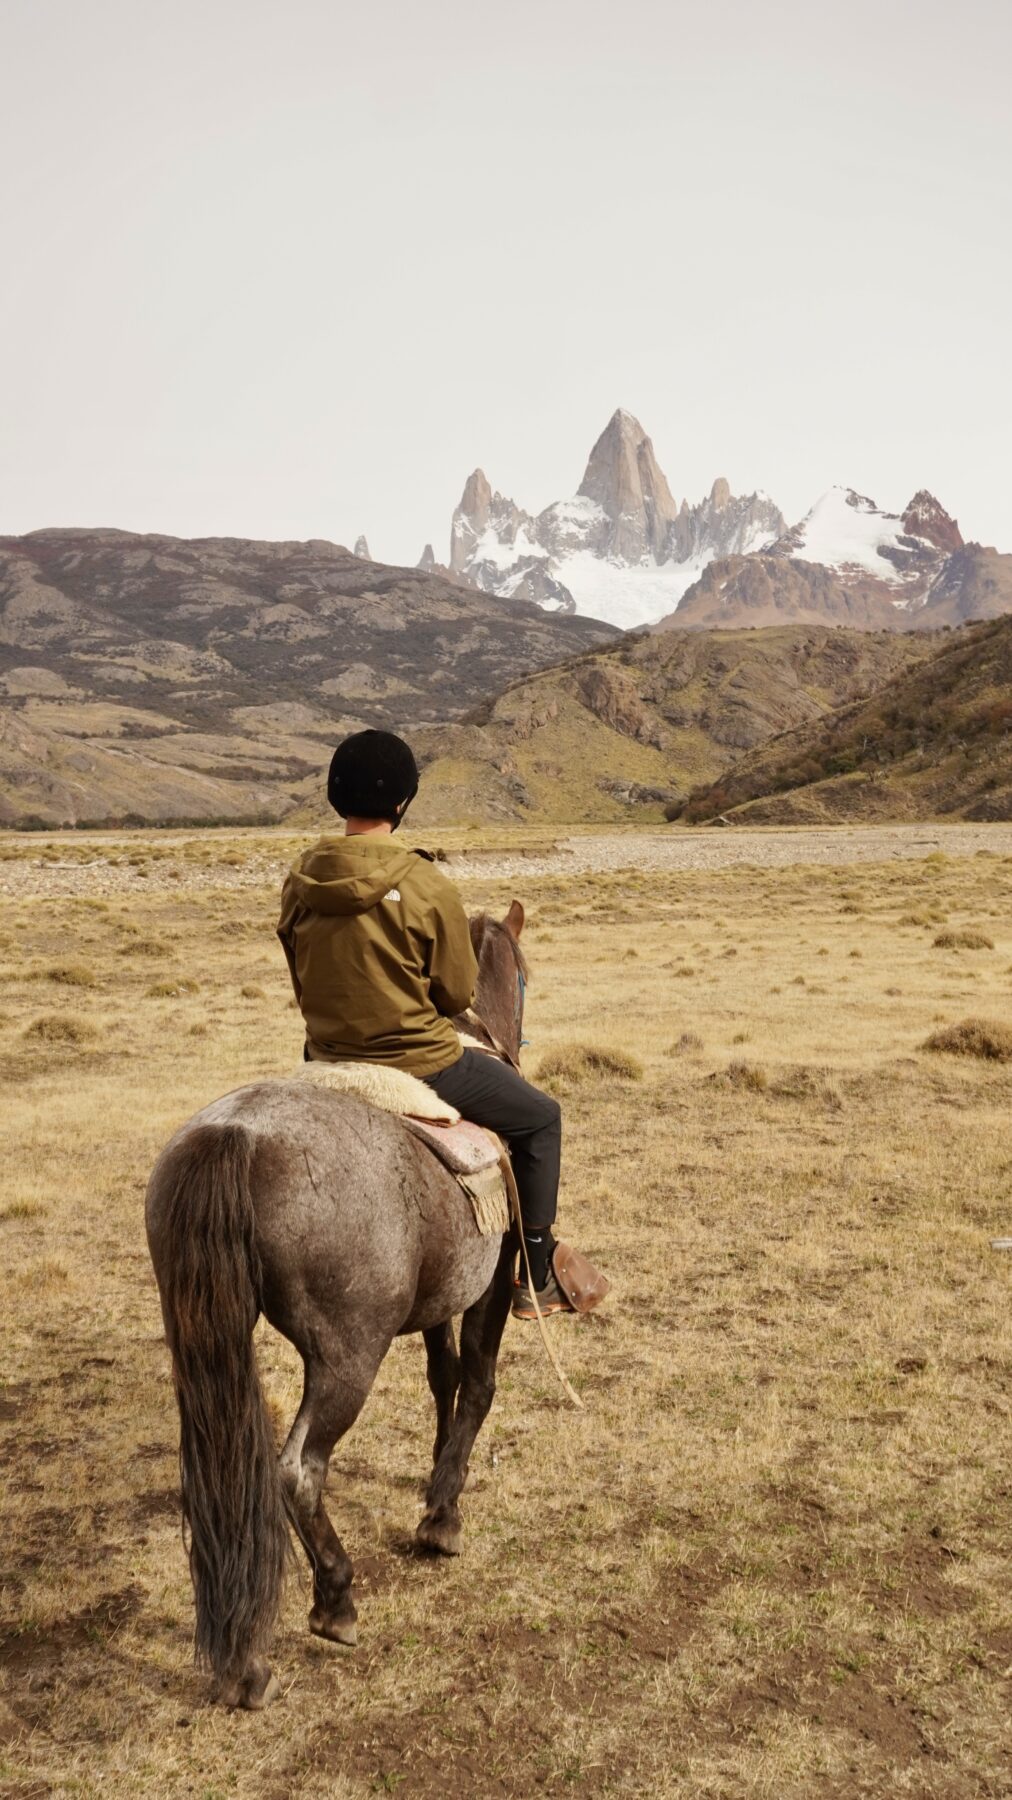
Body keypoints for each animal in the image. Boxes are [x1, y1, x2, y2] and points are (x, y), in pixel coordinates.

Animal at [147, 907, 536, 1706]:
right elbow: (480, 1383)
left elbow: (444, 1379)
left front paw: (433, 1479)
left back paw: (244, 1662)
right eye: (525, 977)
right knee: (298, 1470)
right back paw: (335, 1601)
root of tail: (236, 1134)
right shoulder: (487, 1284)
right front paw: (443, 1517)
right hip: (347, 1353)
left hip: (204, 1343)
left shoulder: (439, 1296)